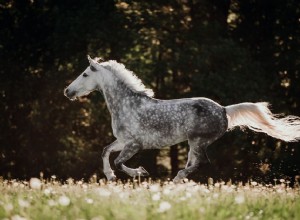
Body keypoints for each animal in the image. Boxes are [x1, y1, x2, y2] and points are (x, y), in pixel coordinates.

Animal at [64, 56, 300, 182]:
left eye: (85, 74)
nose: (67, 91)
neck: (127, 105)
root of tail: (224, 109)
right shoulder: (122, 141)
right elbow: (105, 152)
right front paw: (110, 176)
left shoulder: (134, 144)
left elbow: (120, 162)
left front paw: (140, 172)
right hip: (193, 144)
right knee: (194, 163)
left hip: (198, 141)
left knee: (200, 163)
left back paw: (175, 179)